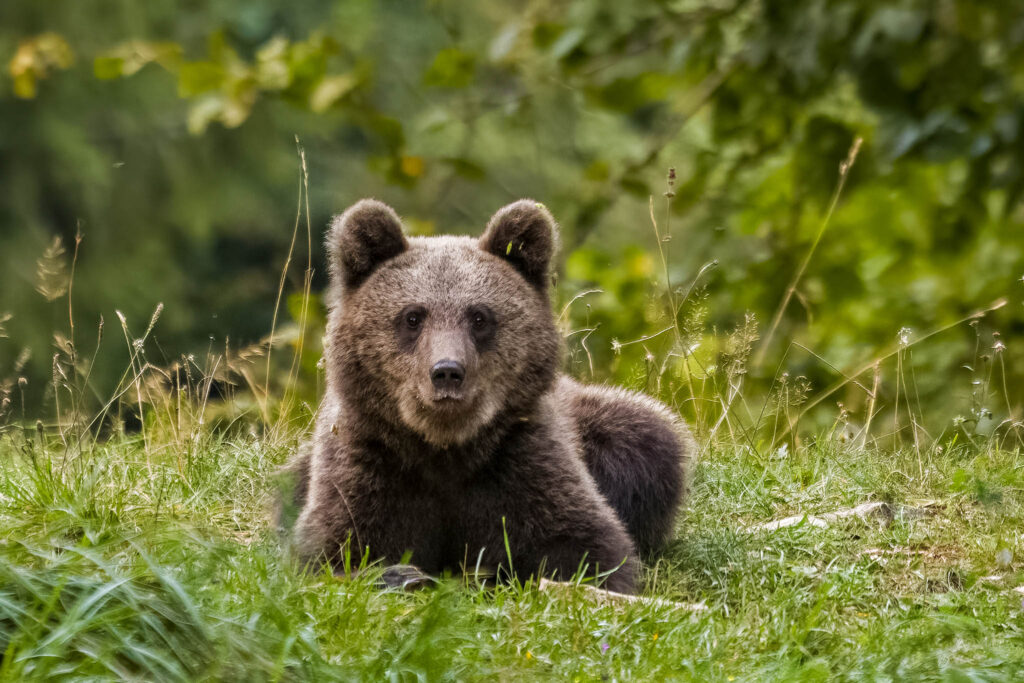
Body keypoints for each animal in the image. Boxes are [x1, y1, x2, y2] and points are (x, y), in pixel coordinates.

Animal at [282, 197, 696, 593]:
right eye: (412, 317)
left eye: (479, 317)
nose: (447, 372)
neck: (444, 448)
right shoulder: (371, 461)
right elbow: (335, 546)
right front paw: (400, 574)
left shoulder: (518, 458)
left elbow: (585, 542)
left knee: (645, 437)